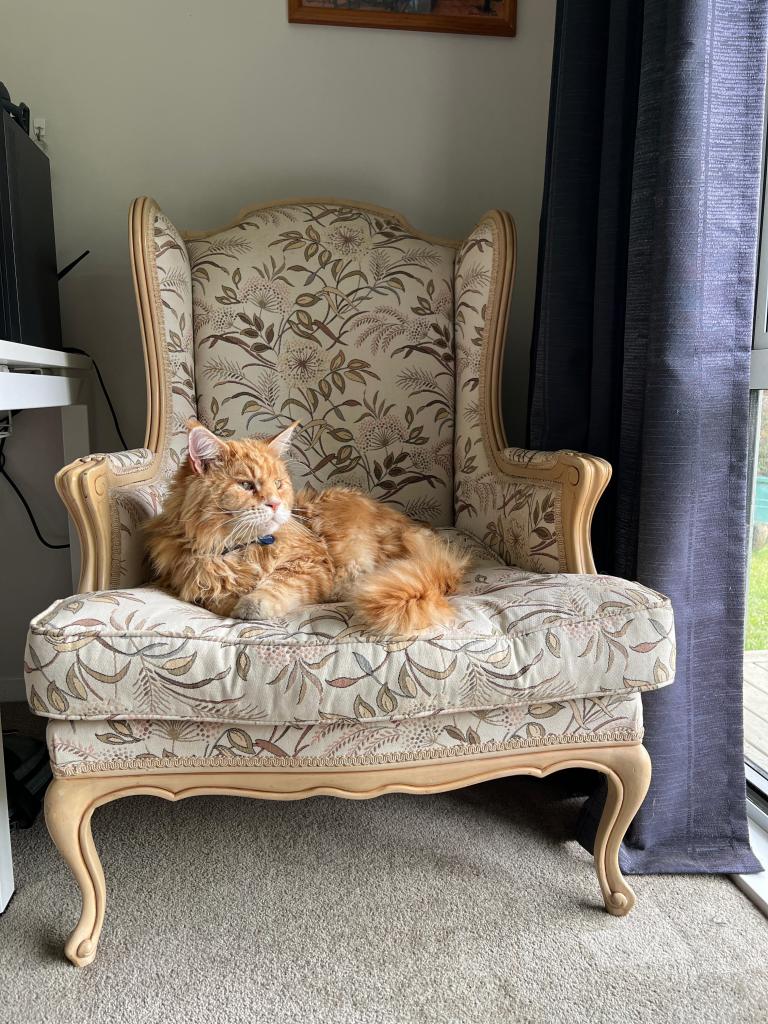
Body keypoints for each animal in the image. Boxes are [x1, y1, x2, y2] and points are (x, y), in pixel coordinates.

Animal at [143, 421, 468, 633]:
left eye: (278, 484)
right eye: (246, 486)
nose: (275, 504)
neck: (238, 549)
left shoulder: (311, 562)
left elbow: (275, 587)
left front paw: (252, 603)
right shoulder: (194, 584)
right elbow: (217, 597)